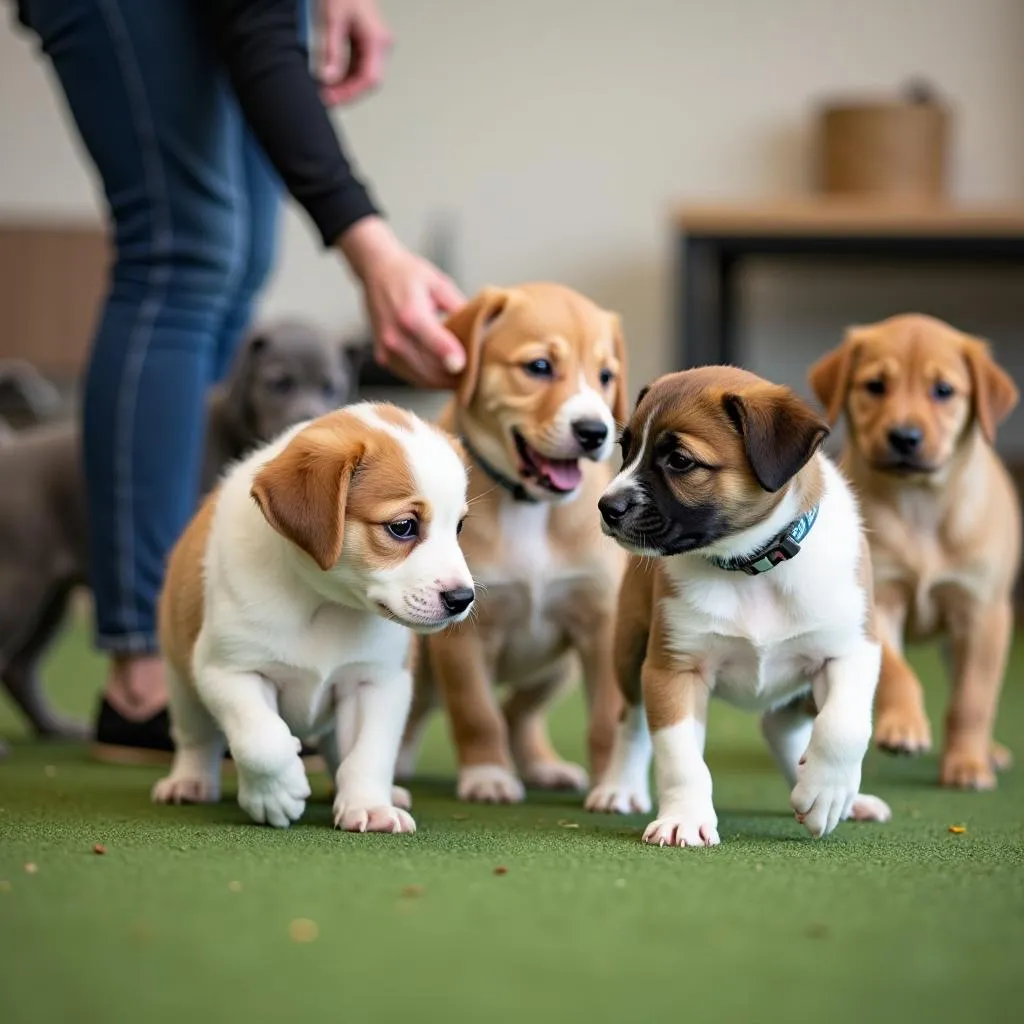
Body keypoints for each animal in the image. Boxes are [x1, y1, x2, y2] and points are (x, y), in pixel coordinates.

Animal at [0, 323, 364, 757]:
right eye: (279, 383)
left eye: (330, 386)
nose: (308, 418)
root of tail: (11, 447)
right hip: (18, 587)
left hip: (51, 600)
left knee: (19, 668)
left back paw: (54, 726)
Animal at [153, 401, 473, 831]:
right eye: (403, 526)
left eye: (459, 527)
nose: (462, 598)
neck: (324, 604)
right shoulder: (228, 670)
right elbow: (262, 739)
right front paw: (275, 794)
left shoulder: (378, 681)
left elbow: (369, 755)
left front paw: (370, 806)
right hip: (183, 687)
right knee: (197, 741)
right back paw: (189, 782)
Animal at [397, 284, 622, 802]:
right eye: (539, 366)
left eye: (605, 376)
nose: (595, 432)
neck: (530, 508)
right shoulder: (461, 633)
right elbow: (476, 712)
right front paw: (488, 776)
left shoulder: (601, 626)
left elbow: (607, 719)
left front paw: (616, 786)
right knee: (418, 710)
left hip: (558, 668)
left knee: (520, 710)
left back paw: (543, 765)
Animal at [589, 368, 892, 847]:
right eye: (626, 449)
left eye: (680, 461)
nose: (606, 507)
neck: (751, 567)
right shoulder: (672, 670)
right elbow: (681, 759)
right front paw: (685, 817)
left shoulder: (852, 649)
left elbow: (843, 725)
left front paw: (826, 791)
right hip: (630, 651)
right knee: (631, 721)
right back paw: (619, 787)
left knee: (781, 725)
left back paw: (832, 793)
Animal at [806, 315, 1015, 786]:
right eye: (875, 386)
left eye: (943, 390)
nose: (904, 437)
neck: (919, 507)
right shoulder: (877, 598)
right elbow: (898, 672)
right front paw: (903, 727)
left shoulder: (982, 612)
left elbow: (972, 698)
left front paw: (967, 764)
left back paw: (988, 751)